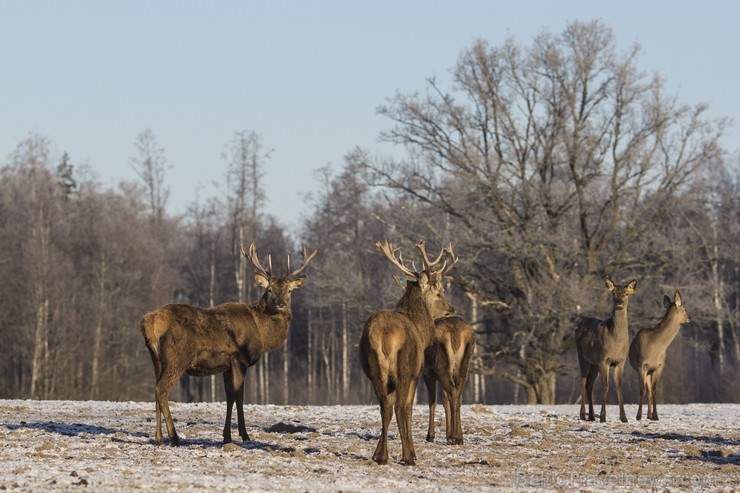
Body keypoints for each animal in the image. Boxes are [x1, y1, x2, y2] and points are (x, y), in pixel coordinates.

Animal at [139, 242, 316, 446]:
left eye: (289, 290)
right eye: (269, 290)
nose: (281, 304)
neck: (262, 333)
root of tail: (150, 321)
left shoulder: (226, 366)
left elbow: (229, 397)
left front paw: (226, 437)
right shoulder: (240, 359)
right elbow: (239, 396)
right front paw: (244, 435)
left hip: (157, 360)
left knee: (155, 390)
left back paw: (159, 438)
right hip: (178, 358)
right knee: (161, 390)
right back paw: (174, 437)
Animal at [360, 240, 456, 464]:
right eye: (439, 292)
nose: (452, 309)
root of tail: (383, 335)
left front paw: (378, 452)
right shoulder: (415, 373)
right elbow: (409, 409)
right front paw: (411, 452)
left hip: (376, 370)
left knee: (385, 407)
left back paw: (382, 456)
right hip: (403, 367)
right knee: (398, 407)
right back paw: (406, 457)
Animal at [422, 316, 474, 446]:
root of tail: (455, 334)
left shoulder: (427, 373)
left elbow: (432, 401)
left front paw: (430, 436)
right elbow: (445, 400)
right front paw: (447, 434)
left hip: (441, 366)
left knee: (452, 392)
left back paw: (454, 437)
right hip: (464, 366)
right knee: (457, 394)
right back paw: (458, 437)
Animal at [576, 274, 640, 420]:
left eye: (626, 293)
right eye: (614, 293)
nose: (619, 303)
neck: (616, 342)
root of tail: (579, 323)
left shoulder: (620, 361)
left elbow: (619, 387)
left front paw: (624, 418)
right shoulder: (603, 359)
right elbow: (605, 386)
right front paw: (603, 417)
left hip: (593, 363)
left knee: (589, 384)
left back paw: (591, 416)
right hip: (582, 356)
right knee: (583, 381)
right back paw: (583, 415)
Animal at [628, 290, 692, 420]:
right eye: (684, 308)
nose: (689, 317)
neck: (656, 347)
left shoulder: (659, 366)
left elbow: (654, 390)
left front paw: (656, 416)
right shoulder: (641, 365)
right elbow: (641, 390)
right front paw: (638, 415)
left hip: (650, 372)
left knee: (649, 390)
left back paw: (649, 415)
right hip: (644, 370)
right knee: (646, 389)